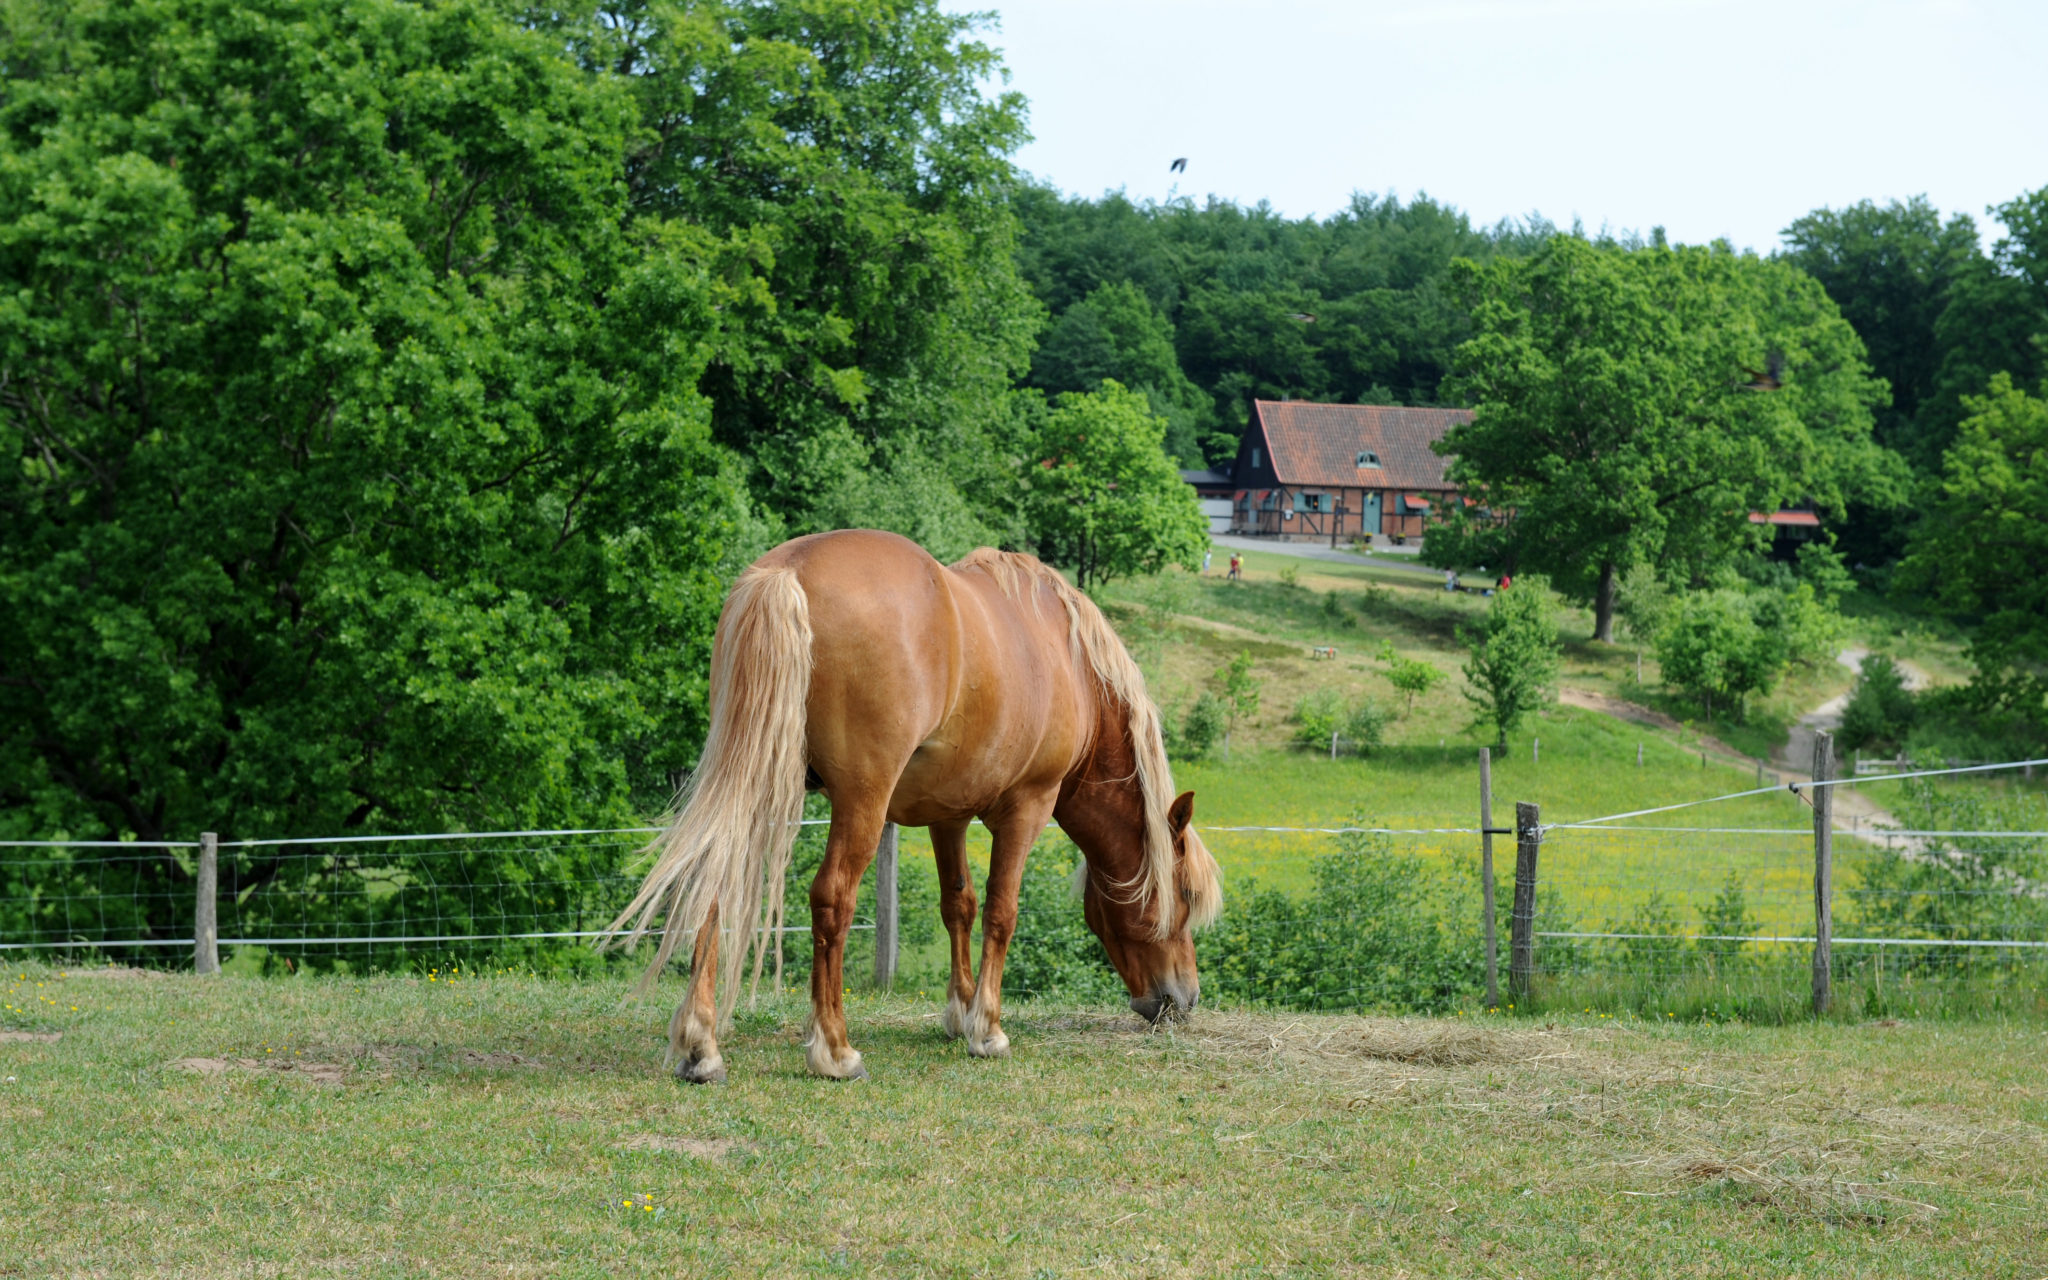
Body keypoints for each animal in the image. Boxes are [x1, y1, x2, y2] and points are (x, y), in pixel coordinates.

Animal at [598, 528, 1220, 1081]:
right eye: (1186, 896)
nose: (1184, 998)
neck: (1067, 660)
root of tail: (787, 571)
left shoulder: (949, 814)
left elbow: (959, 905)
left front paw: (960, 1009)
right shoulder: (1027, 808)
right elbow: (1002, 912)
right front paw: (987, 1029)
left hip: (760, 779)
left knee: (713, 887)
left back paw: (701, 1047)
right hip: (860, 801)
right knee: (832, 899)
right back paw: (834, 1050)